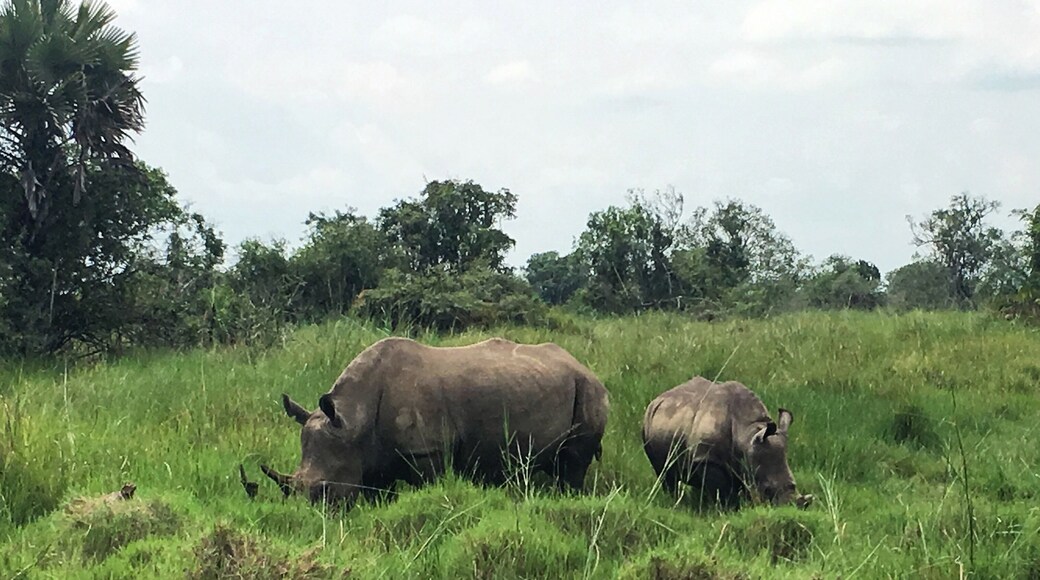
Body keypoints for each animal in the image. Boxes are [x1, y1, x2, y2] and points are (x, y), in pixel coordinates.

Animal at [261, 336, 610, 507]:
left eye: (324, 490)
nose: (304, 516)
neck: (352, 419)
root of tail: (583, 365)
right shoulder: (371, 457)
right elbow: (377, 496)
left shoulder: (427, 451)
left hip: (589, 390)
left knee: (573, 465)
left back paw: (569, 497)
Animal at [642, 376, 812, 508]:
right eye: (767, 490)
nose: (790, 507)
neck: (747, 431)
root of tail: (657, 399)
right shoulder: (707, 459)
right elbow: (721, 489)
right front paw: (725, 509)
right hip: (648, 423)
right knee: (663, 472)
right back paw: (675, 502)